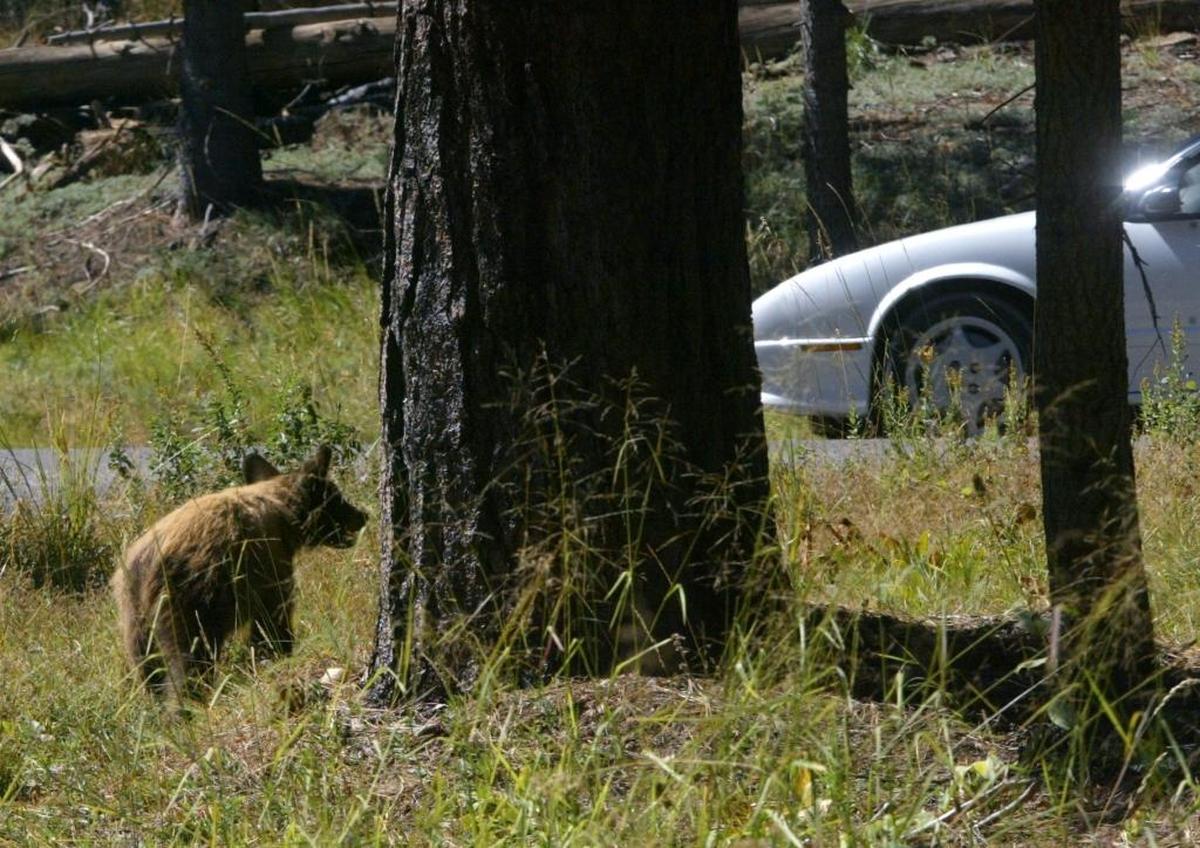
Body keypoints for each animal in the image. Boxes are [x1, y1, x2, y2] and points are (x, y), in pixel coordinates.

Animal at [111, 445, 367, 700]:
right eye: (338, 497)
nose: (363, 515)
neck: (283, 516)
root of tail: (149, 561)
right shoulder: (268, 568)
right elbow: (271, 622)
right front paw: (276, 654)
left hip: (134, 615)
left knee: (148, 668)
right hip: (190, 599)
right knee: (189, 660)